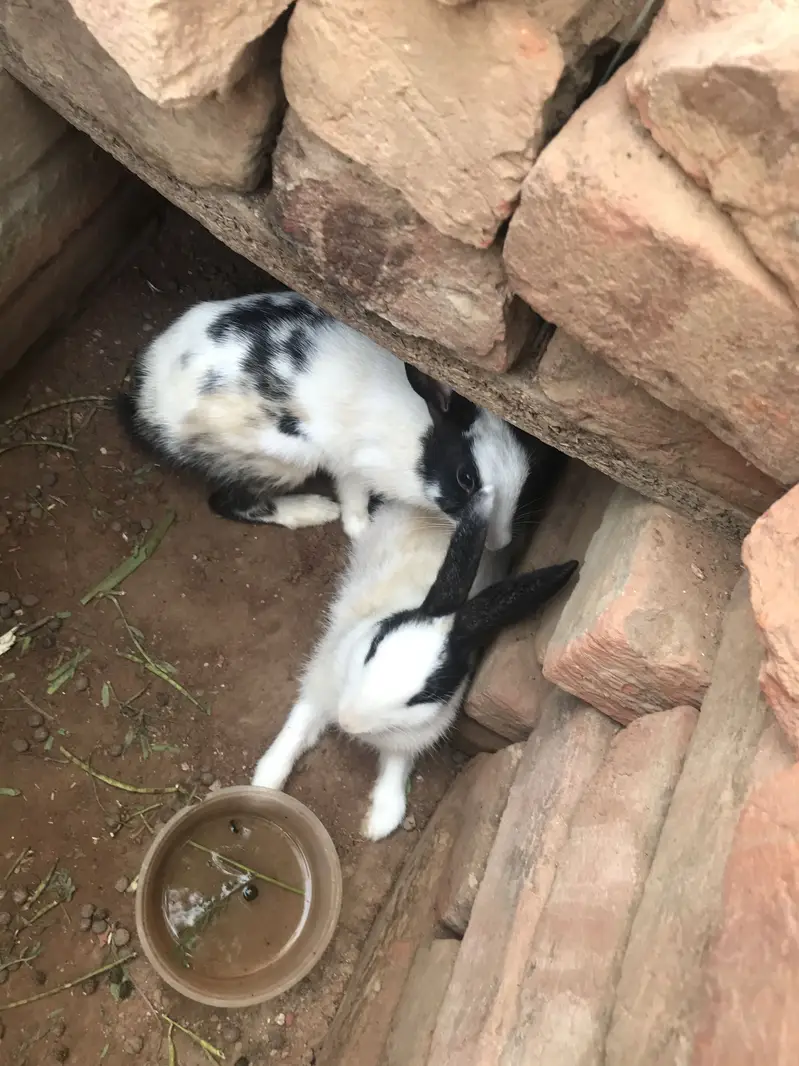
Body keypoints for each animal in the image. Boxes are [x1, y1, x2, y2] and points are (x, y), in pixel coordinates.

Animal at [118, 289, 562, 546]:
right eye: (466, 478)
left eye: (526, 471)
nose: (499, 542)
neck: (421, 440)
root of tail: (148, 401)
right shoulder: (353, 464)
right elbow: (353, 501)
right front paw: (361, 531)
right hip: (286, 457)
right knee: (228, 502)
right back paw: (314, 510)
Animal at [251, 485, 578, 840]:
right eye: (374, 647)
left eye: (424, 696)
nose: (348, 721)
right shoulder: (320, 683)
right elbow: (296, 730)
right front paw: (264, 783)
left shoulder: (410, 738)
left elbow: (396, 766)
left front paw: (380, 822)